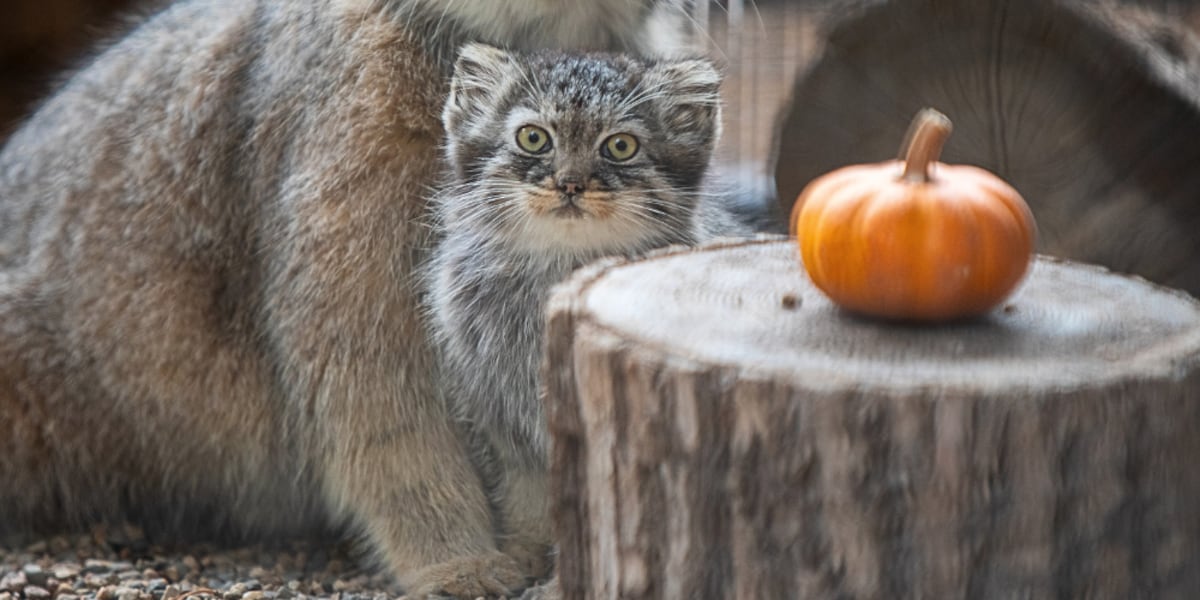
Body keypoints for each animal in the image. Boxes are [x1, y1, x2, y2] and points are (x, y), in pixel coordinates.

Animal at [424, 43, 748, 576]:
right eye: (533, 138)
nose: (570, 184)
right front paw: (526, 547)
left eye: (620, 146)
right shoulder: (501, 415)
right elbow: (527, 491)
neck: (562, 272)